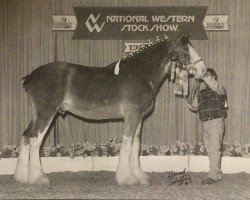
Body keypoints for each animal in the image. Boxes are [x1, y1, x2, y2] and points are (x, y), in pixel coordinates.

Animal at [13, 32, 206, 184]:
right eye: (186, 50)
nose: (203, 70)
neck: (141, 72)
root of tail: (31, 76)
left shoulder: (139, 118)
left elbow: (135, 145)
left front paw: (140, 176)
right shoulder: (132, 117)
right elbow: (127, 144)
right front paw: (126, 178)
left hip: (37, 115)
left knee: (26, 136)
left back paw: (21, 177)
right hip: (46, 114)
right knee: (35, 141)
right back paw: (38, 178)